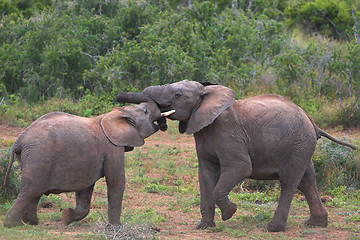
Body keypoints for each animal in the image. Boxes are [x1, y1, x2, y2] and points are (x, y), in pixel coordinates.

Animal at [2, 100, 174, 228]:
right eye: (145, 111)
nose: (164, 124)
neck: (118, 112)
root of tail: (18, 141)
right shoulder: (112, 146)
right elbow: (116, 180)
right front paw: (116, 228)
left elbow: (85, 188)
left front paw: (66, 217)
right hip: (39, 155)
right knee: (31, 190)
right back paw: (13, 225)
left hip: (30, 157)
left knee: (34, 192)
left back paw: (32, 223)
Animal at [116, 79, 358, 232]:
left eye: (178, 95)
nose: (161, 122)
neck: (208, 95)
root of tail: (313, 123)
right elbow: (205, 175)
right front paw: (204, 227)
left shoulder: (228, 135)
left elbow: (240, 169)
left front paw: (230, 213)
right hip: (302, 146)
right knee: (307, 180)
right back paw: (316, 224)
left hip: (298, 144)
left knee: (290, 182)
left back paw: (274, 228)